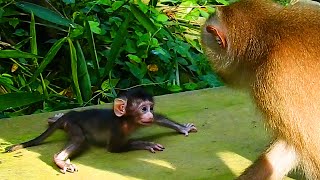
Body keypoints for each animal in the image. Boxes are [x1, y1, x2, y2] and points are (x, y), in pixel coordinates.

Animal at [5, 88, 196, 173]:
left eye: (150, 108)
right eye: (143, 109)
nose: (148, 113)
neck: (127, 120)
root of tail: (70, 115)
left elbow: (160, 119)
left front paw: (182, 128)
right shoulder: (118, 128)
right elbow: (114, 149)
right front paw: (147, 144)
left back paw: (54, 118)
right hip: (73, 125)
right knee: (79, 139)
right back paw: (59, 160)